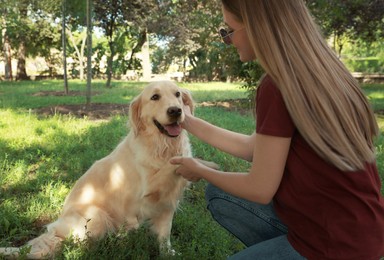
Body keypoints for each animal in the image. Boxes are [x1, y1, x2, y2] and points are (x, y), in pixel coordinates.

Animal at [0, 80, 216, 258]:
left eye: (177, 94)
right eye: (155, 97)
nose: (176, 111)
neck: (162, 146)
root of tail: (56, 228)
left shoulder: (166, 203)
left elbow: (165, 234)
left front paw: (168, 253)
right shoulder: (145, 192)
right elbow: (174, 166)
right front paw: (205, 165)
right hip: (97, 217)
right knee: (74, 244)